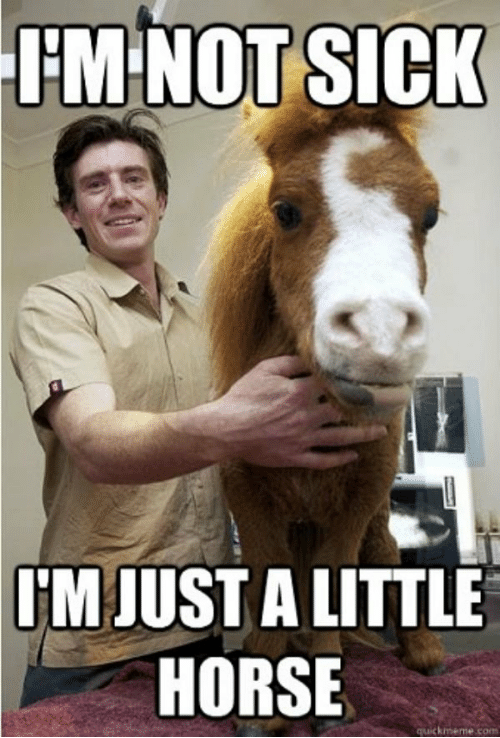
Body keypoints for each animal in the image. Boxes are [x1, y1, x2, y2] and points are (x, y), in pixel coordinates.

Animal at [204, 56, 445, 736]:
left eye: (430, 214)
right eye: (284, 210)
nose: (378, 334)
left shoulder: (360, 497)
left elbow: (336, 580)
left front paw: (328, 699)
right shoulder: (246, 492)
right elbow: (268, 577)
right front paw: (260, 702)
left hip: (377, 521)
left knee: (387, 564)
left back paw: (423, 652)